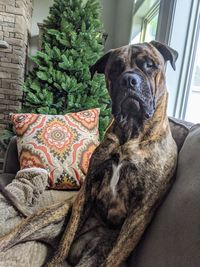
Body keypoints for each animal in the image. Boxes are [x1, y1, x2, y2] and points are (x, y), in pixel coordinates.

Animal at [0, 41, 178, 267]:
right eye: (115, 68)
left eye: (150, 64)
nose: (129, 79)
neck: (130, 135)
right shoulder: (87, 191)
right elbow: (67, 239)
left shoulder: (141, 211)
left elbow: (115, 255)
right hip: (49, 217)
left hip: (94, 253)